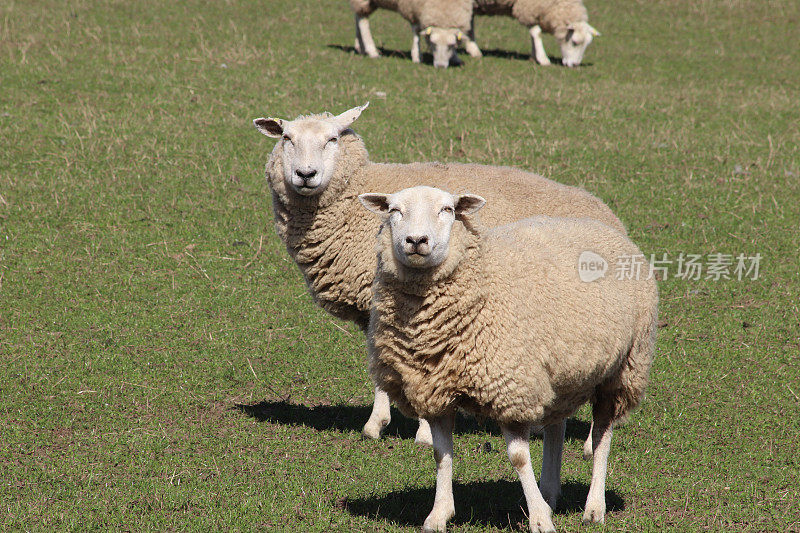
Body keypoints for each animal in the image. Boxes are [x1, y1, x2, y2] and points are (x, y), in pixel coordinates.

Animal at [253, 103, 628, 444]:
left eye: (332, 139)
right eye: (286, 138)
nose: (305, 174)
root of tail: (610, 217)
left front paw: (419, 432)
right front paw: (377, 425)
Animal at [348, 0, 482, 68]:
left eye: (451, 45)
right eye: (433, 44)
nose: (440, 66)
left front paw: (455, 58)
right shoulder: (412, 8)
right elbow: (416, 31)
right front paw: (417, 56)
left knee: (357, 17)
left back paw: (361, 46)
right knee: (362, 19)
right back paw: (372, 51)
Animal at [360, 185, 656, 528]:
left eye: (448, 210)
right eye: (394, 210)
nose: (417, 241)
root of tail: (604, 227)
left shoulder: (511, 387)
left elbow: (518, 457)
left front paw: (539, 519)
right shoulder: (434, 390)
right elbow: (440, 453)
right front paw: (439, 514)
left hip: (622, 369)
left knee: (602, 437)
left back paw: (593, 507)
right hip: (559, 373)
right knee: (556, 427)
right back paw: (550, 492)